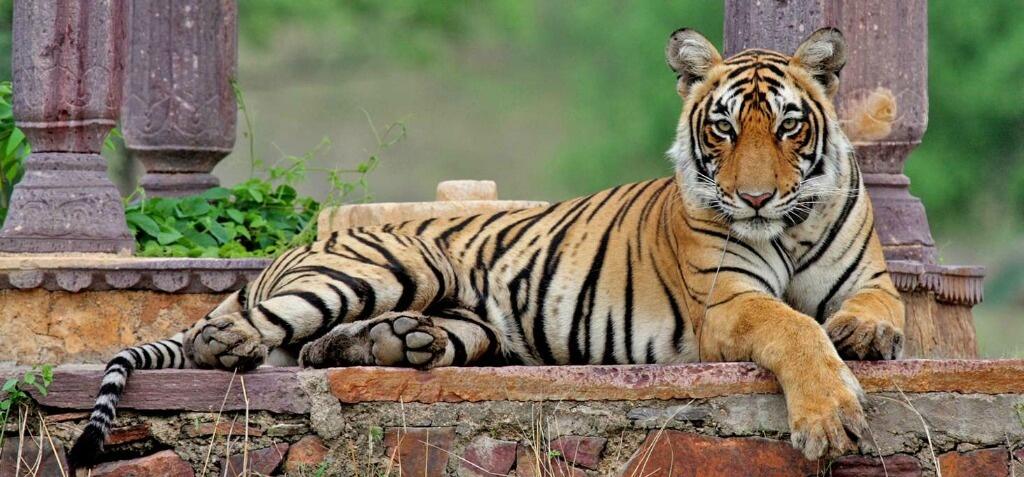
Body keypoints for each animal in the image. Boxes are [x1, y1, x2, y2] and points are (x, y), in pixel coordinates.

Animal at [68, 26, 905, 468]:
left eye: (789, 126)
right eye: (724, 128)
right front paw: (831, 418)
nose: (755, 197)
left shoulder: (868, 275)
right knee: (231, 335)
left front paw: (866, 335)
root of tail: (301, 241)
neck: (788, 226)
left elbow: (875, 308)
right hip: (389, 265)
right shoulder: (727, 302)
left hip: (471, 323)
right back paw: (238, 339)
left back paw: (398, 343)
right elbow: (792, 327)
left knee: (318, 348)